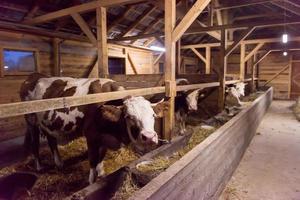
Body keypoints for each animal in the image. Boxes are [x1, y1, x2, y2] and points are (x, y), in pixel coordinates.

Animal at [19, 72, 168, 184]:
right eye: (129, 117)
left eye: (153, 115)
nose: (149, 137)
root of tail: (34, 75)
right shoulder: (91, 135)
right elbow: (92, 160)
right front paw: (92, 180)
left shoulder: (103, 138)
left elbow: (101, 157)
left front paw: (101, 173)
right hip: (31, 121)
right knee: (35, 143)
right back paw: (39, 167)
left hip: (48, 125)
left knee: (51, 141)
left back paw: (59, 163)